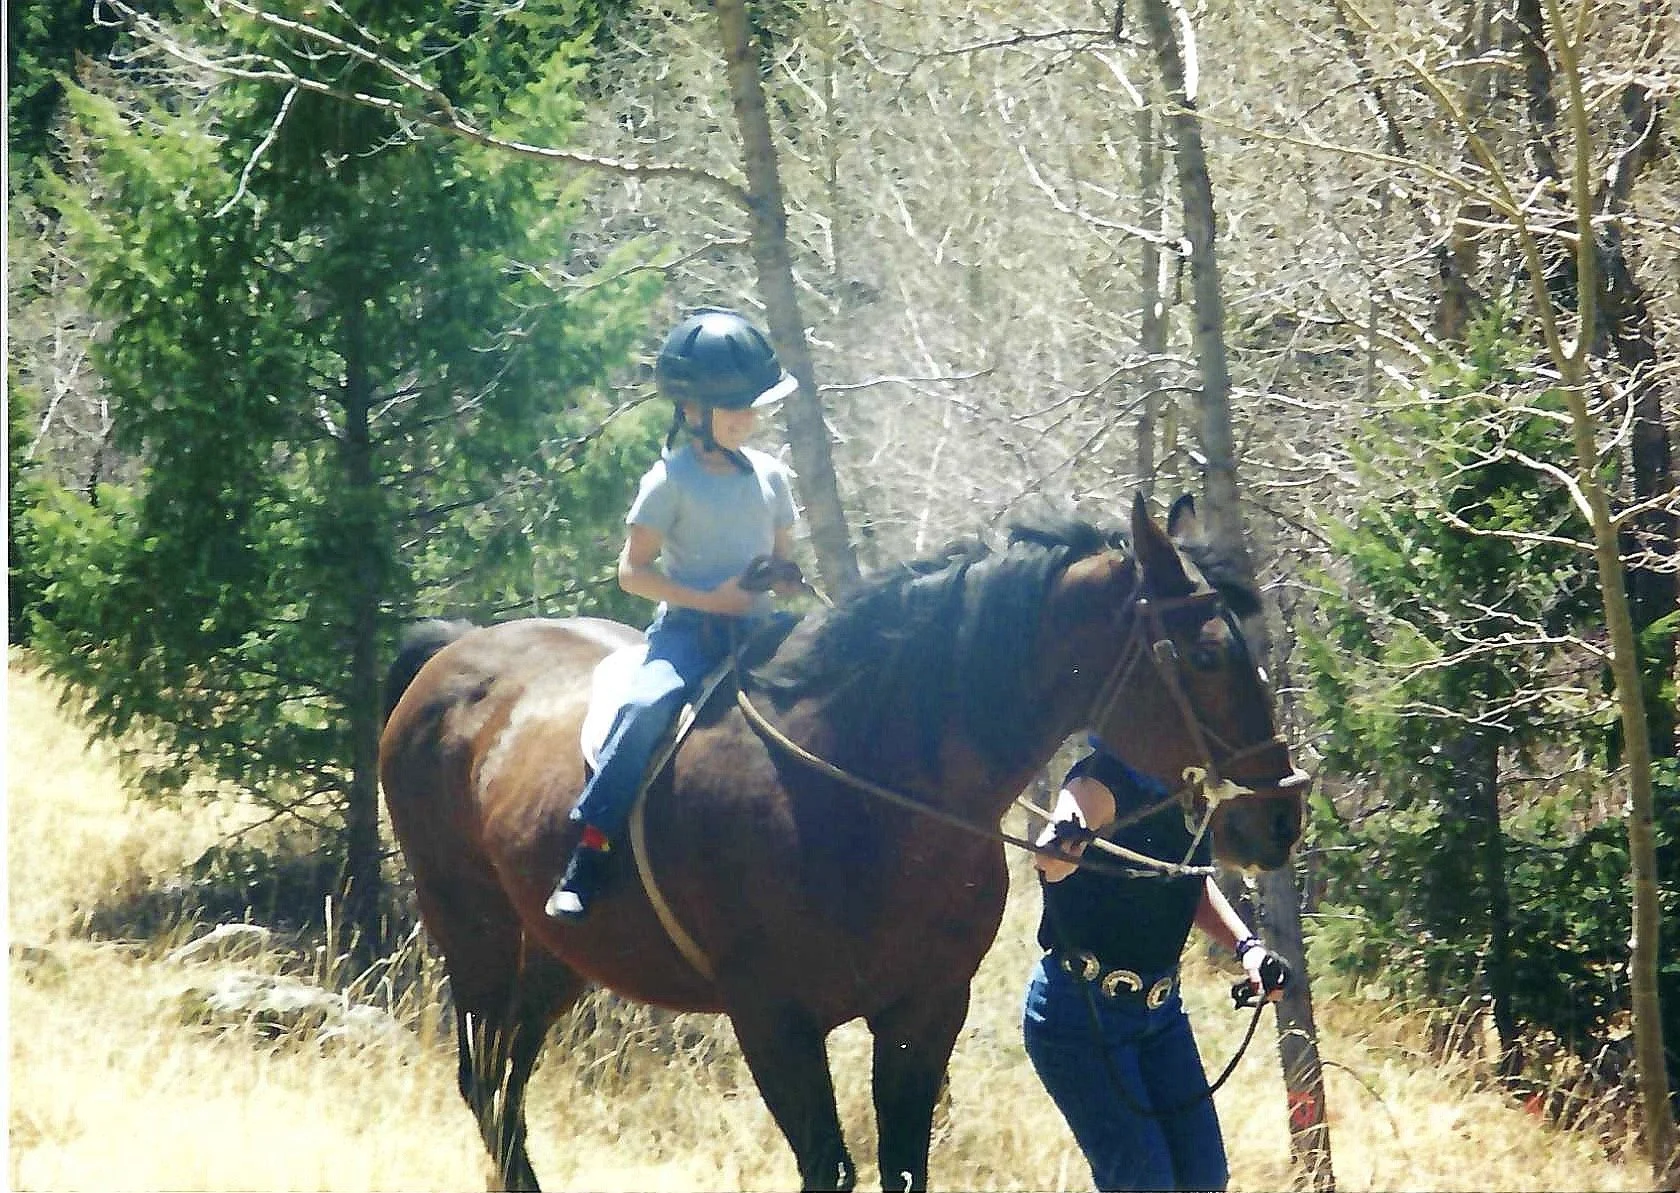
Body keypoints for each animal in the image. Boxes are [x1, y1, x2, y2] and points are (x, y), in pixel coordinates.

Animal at [378, 493, 1306, 1192]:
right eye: (1207, 655)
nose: (1280, 816)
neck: (862, 792)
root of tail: (452, 654)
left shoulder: (925, 1010)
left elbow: (903, 1168)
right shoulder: (774, 1022)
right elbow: (829, 1169)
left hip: (553, 957)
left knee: (507, 1082)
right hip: (474, 932)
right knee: (485, 1082)